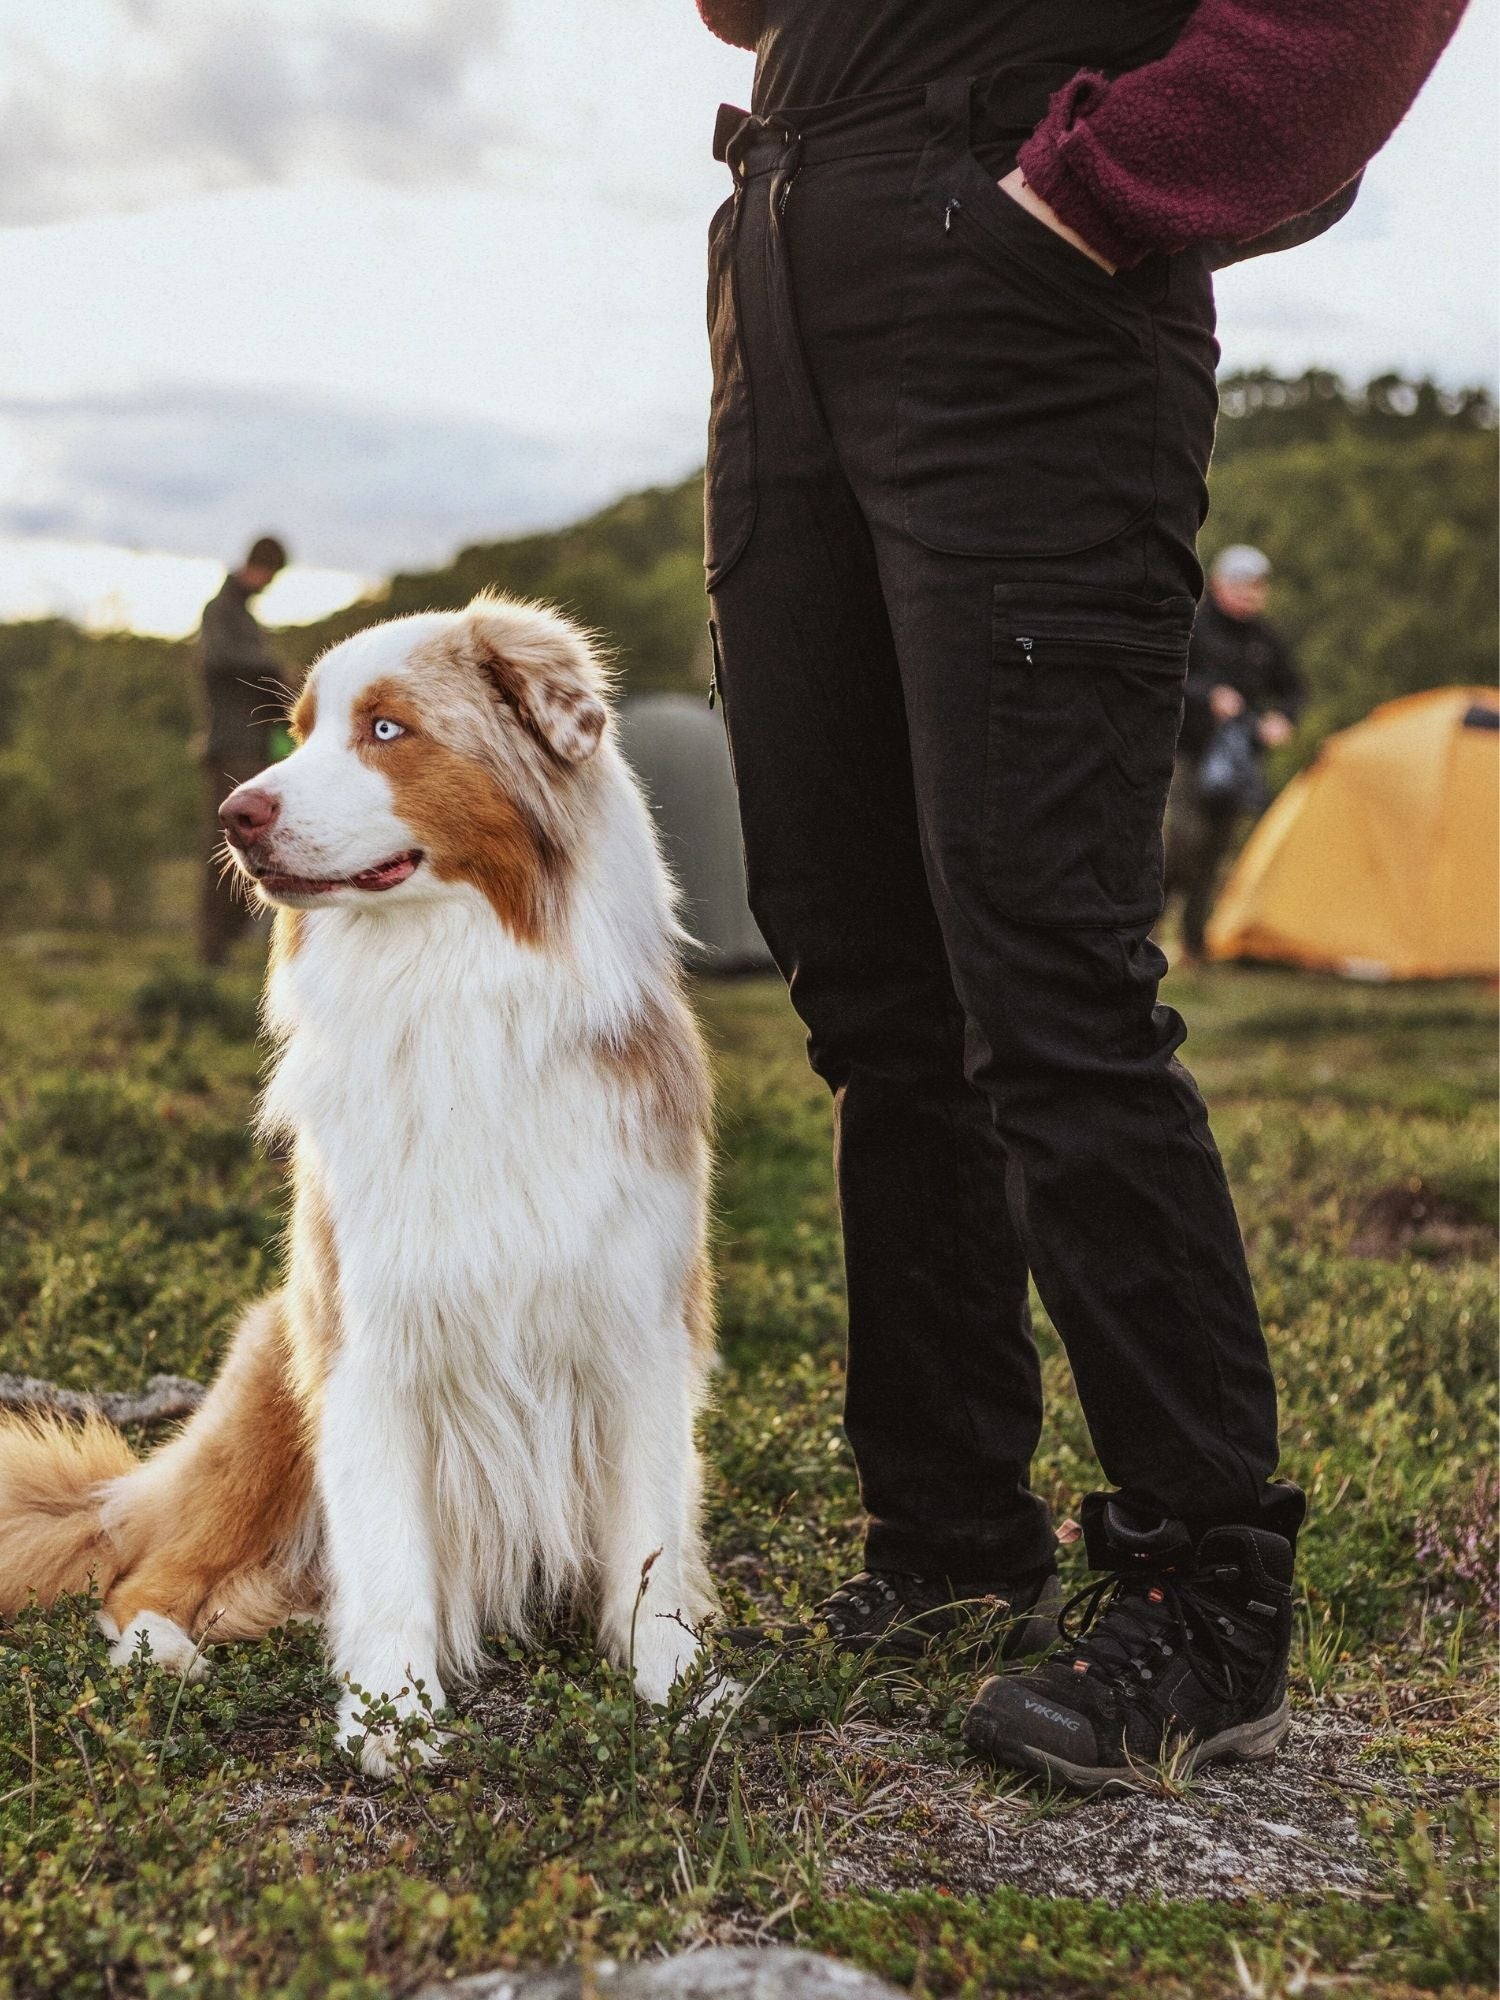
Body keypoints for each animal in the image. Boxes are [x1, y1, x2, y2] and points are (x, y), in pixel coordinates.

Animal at [0, 596, 724, 1784]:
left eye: (387, 730)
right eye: (298, 730)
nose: (236, 812)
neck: (454, 981)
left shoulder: (640, 1317)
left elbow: (652, 1541)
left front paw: (679, 1687)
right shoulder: (369, 1331)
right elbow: (386, 1550)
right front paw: (392, 1712)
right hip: (269, 1394)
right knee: (142, 1575)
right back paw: (166, 1652)